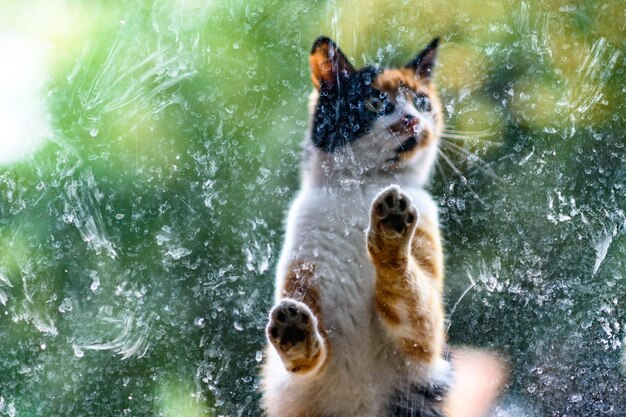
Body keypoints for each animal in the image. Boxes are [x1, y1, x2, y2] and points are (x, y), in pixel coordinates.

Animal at [260, 36, 450, 416]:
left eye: (422, 102)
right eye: (375, 101)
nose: (412, 120)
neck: (363, 191)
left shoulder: (424, 346)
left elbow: (412, 298)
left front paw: (391, 227)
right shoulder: (305, 270)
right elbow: (311, 356)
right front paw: (295, 331)